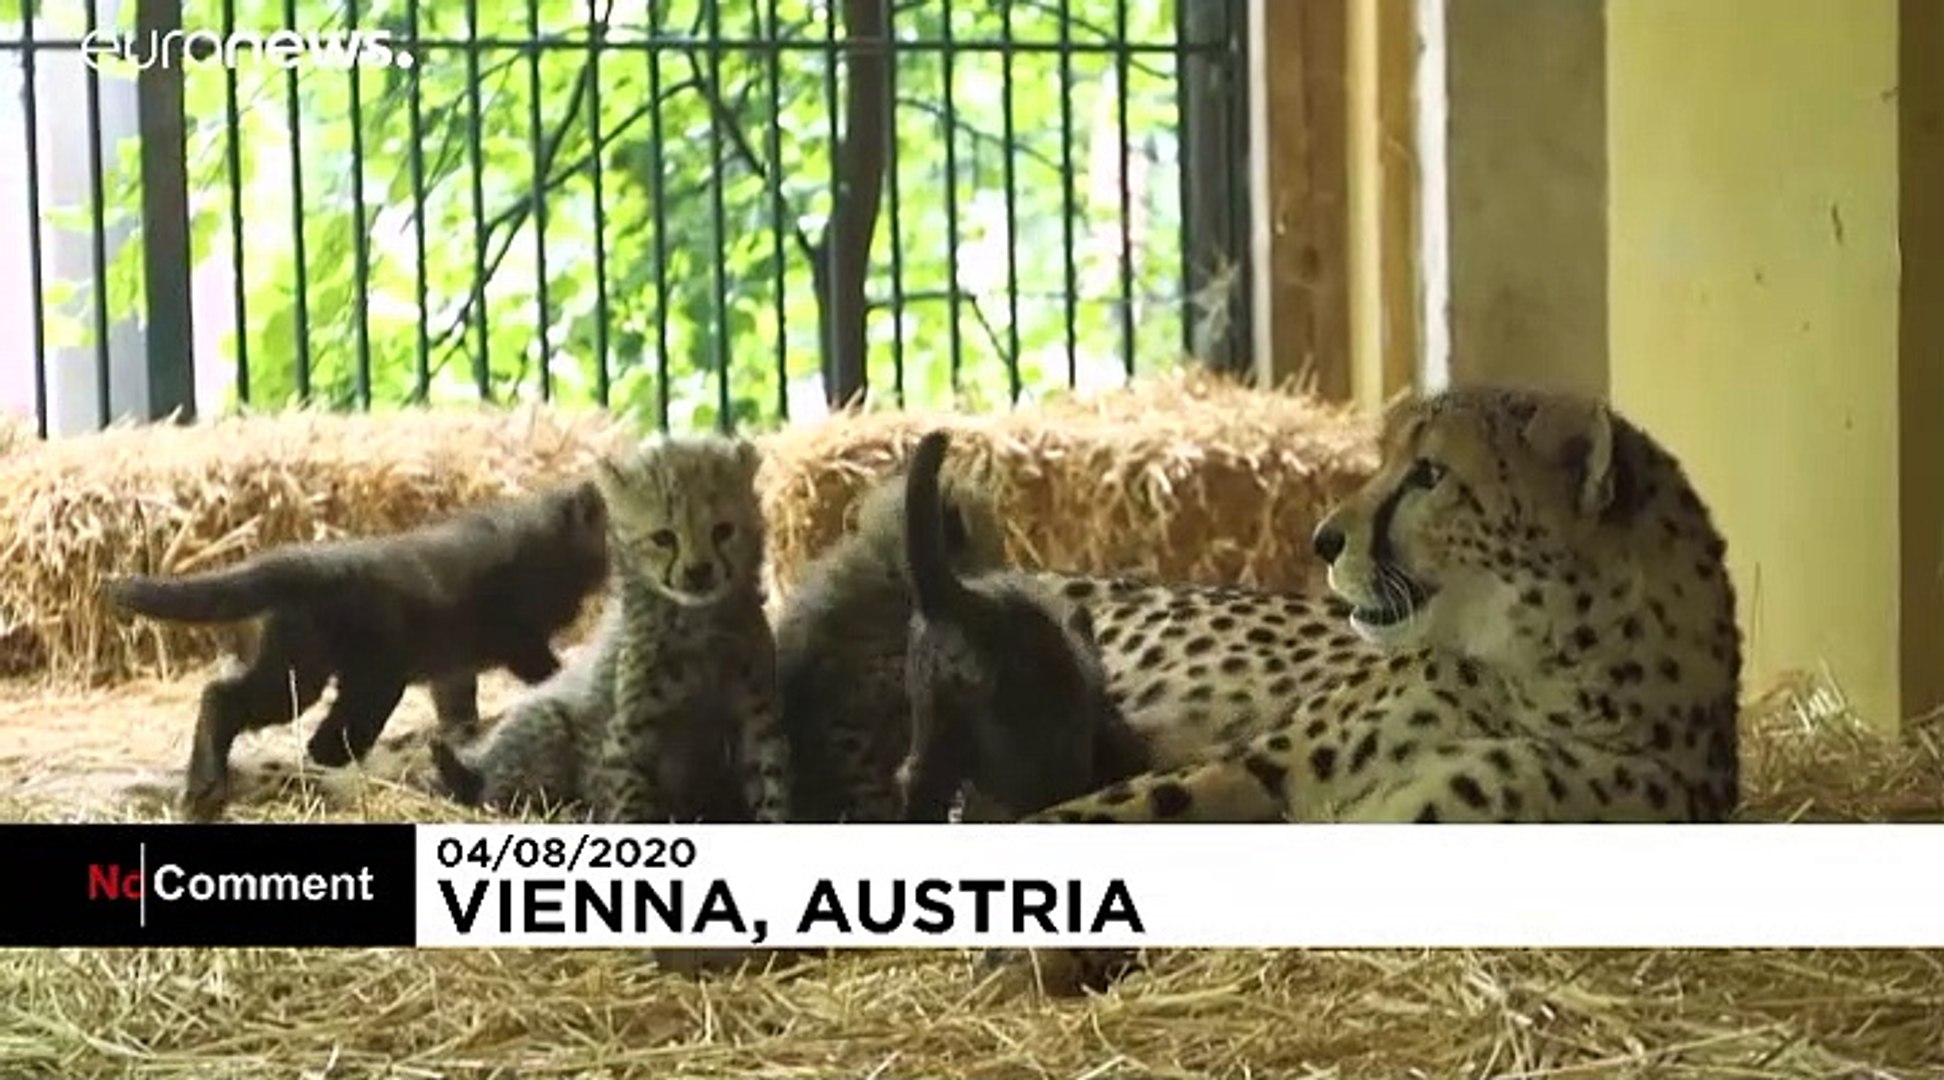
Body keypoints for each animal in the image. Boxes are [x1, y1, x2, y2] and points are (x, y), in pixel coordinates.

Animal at [431, 434, 789, 824]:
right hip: (545, 726)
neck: (698, 623)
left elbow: (773, 788)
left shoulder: (757, 720)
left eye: (723, 531)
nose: (698, 573)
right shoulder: (627, 736)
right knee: (500, 796)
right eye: (664, 538)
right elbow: (631, 802)